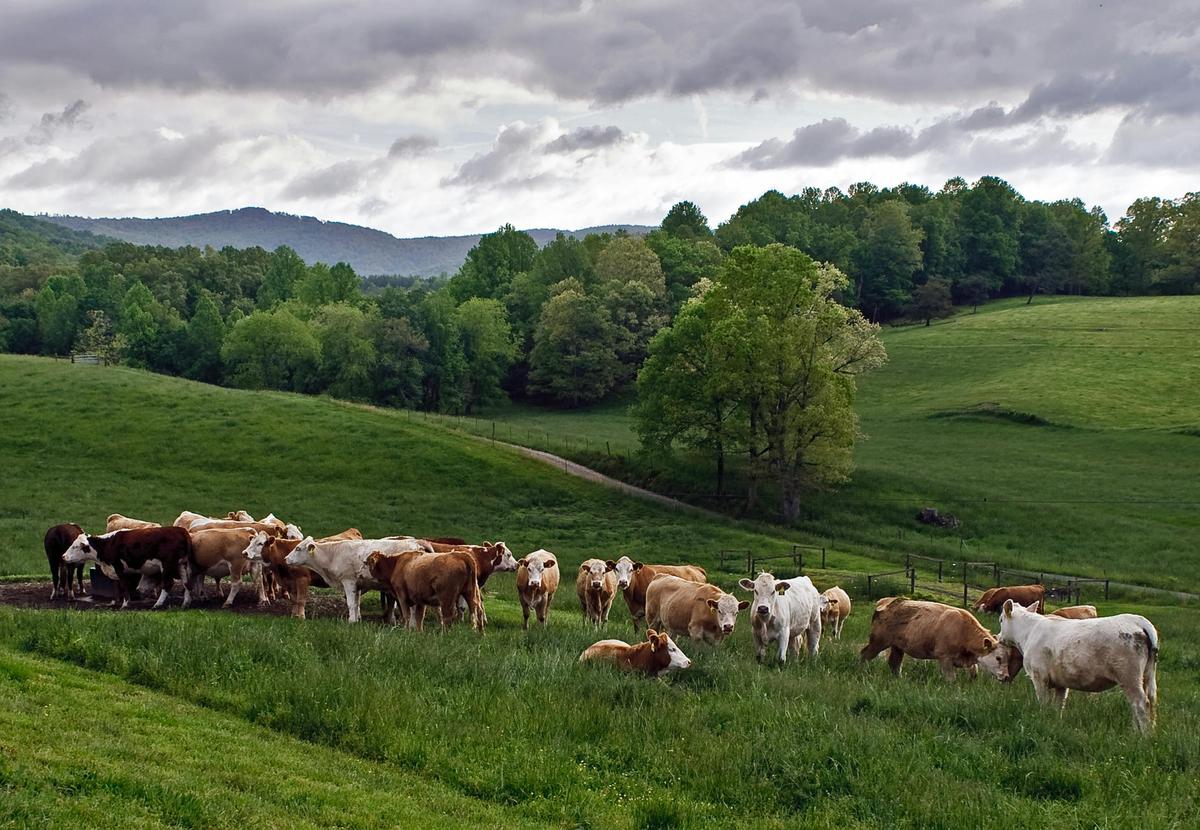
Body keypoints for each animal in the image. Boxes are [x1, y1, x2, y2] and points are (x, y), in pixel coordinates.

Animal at [61, 527, 193, 609]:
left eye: (75, 547)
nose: (63, 556)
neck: (108, 544)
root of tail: (180, 531)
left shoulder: (119, 568)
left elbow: (124, 586)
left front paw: (125, 604)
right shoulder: (113, 570)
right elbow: (115, 587)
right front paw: (114, 602)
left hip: (167, 566)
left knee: (168, 584)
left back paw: (157, 604)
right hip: (182, 565)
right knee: (187, 583)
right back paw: (185, 603)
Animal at [283, 536, 424, 623]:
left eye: (298, 548)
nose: (285, 559)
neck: (333, 554)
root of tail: (416, 545)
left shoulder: (348, 581)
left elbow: (351, 604)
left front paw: (350, 621)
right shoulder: (358, 584)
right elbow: (356, 604)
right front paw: (356, 620)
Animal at [860, 597, 999, 681]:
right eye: (998, 658)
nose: (1004, 677)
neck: (963, 629)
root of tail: (888, 601)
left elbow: (974, 672)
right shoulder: (944, 657)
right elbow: (951, 678)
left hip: (897, 647)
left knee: (894, 664)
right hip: (878, 642)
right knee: (865, 654)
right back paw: (863, 671)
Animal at [998, 599, 1159, 733]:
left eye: (1000, 620)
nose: (999, 637)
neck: (1028, 633)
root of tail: (1137, 621)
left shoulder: (1039, 677)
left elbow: (1044, 703)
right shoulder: (1060, 682)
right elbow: (1058, 706)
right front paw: (1054, 723)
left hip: (1129, 676)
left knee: (1141, 703)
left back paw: (1143, 736)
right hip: (1147, 674)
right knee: (1149, 702)